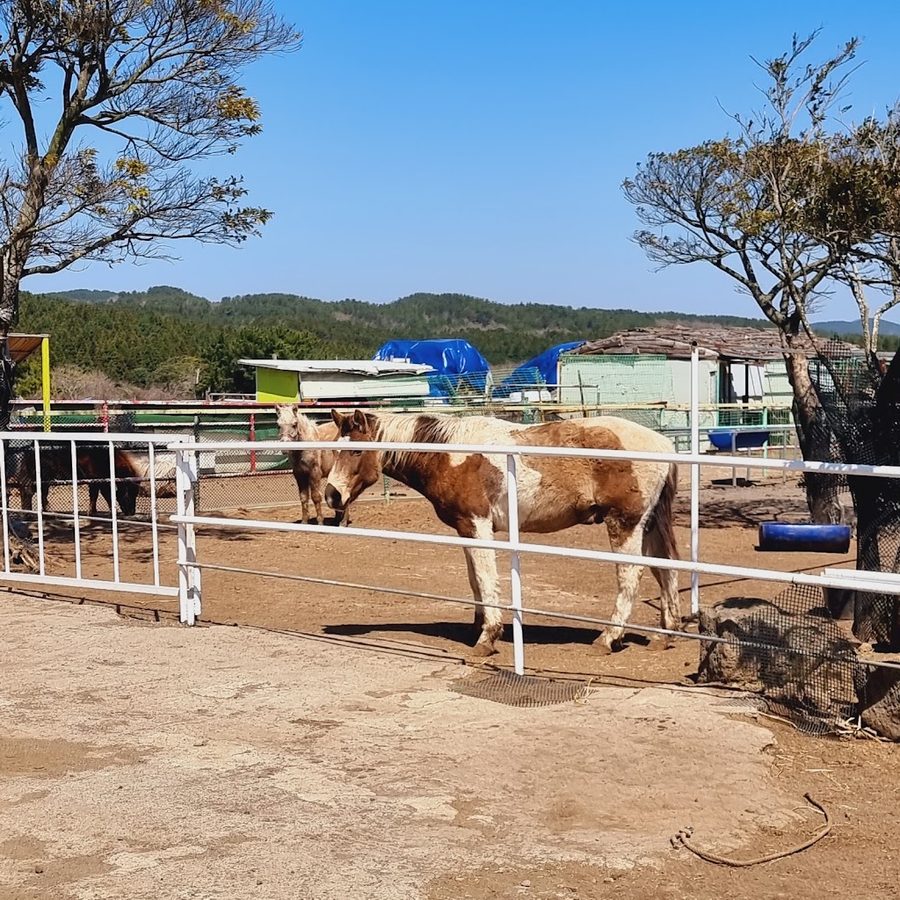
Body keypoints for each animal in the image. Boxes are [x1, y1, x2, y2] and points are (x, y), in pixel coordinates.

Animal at [324, 409, 681, 656]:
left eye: (356, 452)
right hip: (648, 524)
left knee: (630, 575)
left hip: (625, 523)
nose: (332, 496)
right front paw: (477, 627)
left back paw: (608, 638)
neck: (451, 455)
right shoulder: (465, 528)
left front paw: (488, 637)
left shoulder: (478, 524)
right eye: (335, 449)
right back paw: (664, 635)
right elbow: (474, 579)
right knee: (666, 570)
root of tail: (663, 444)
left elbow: (485, 578)